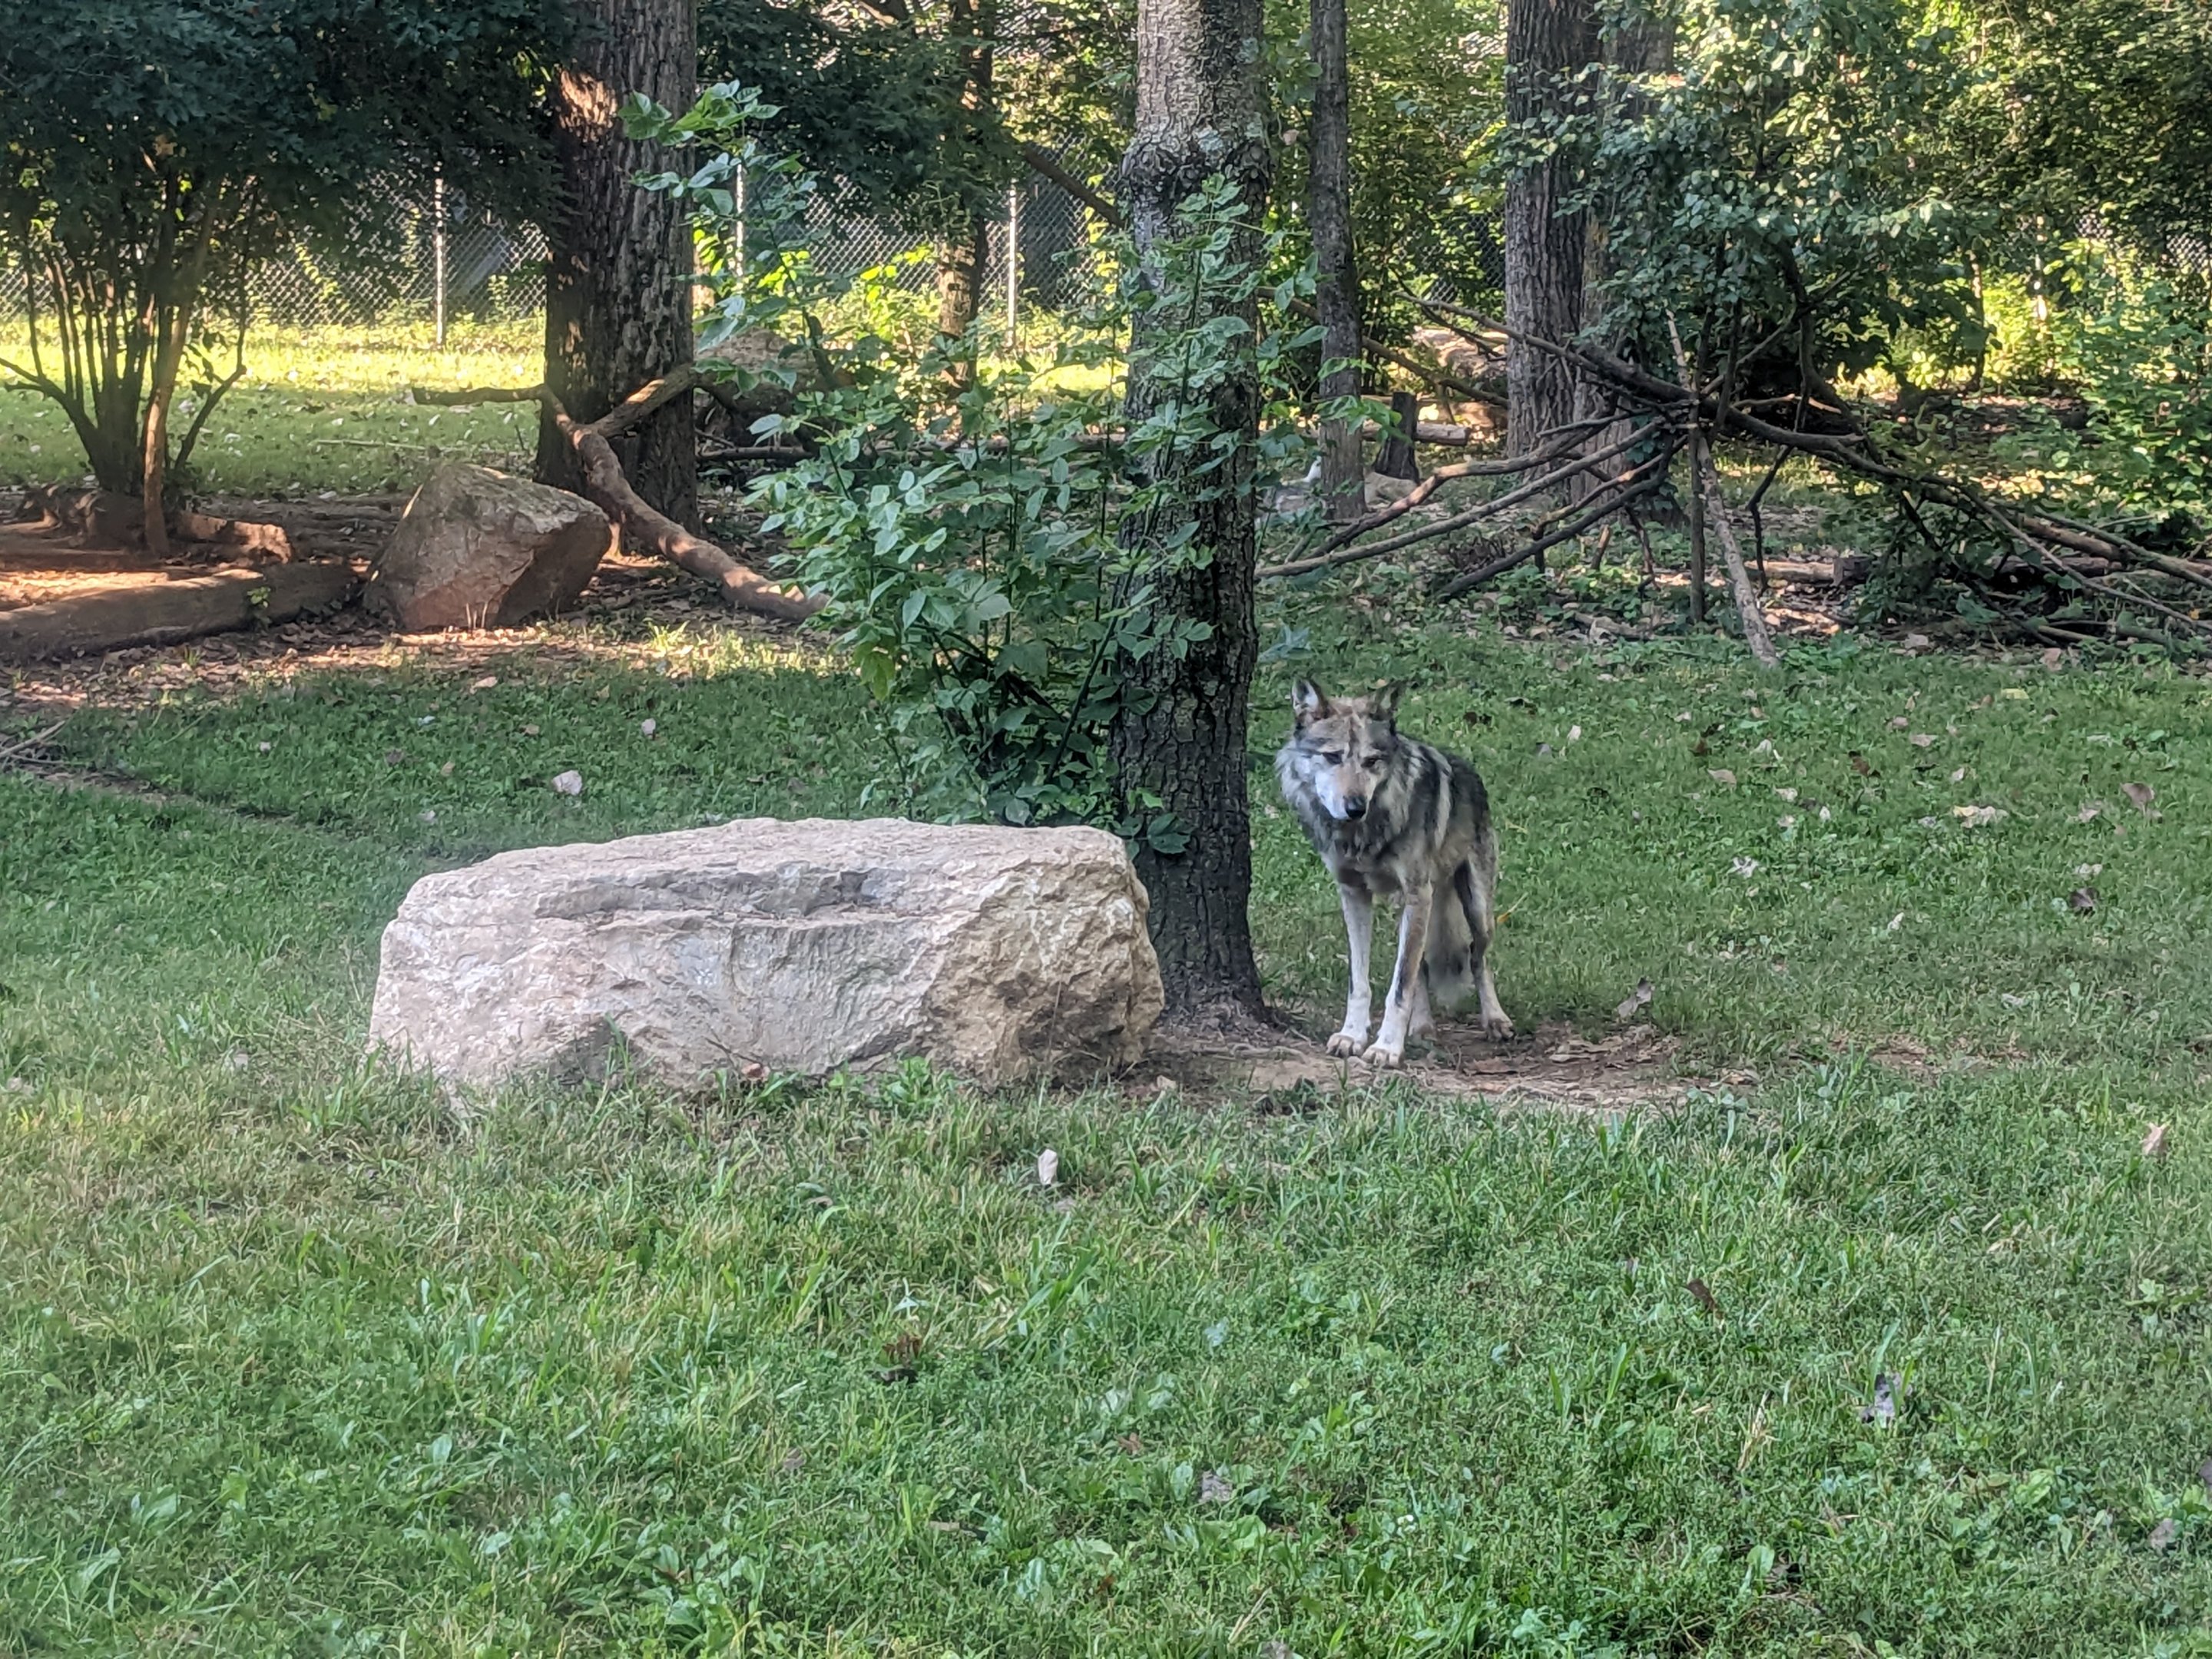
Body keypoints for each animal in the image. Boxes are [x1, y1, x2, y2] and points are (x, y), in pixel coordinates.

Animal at [1275, 680, 1512, 1067]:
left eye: (1371, 761)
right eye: (1333, 757)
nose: (1355, 807)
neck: (1363, 836)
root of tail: (1471, 771)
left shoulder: (1418, 893)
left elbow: (1399, 988)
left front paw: (1386, 1048)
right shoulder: (1353, 893)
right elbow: (1362, 982)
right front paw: (1352, 1036)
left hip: (1476, 911)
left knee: (1477, 959)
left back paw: (1495, 1019)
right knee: (1421, 969)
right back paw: (1423, 1028)